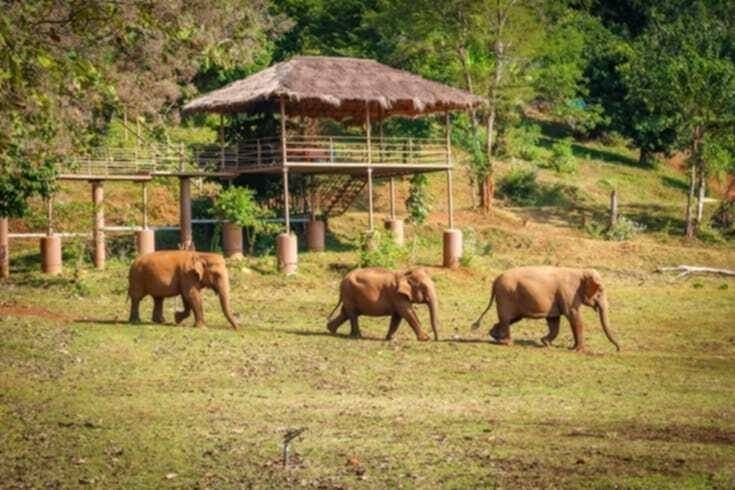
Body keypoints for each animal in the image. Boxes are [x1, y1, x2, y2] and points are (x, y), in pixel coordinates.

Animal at [471, 266, 620, 352]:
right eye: (600, 290)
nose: (618, 349)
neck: (581, 271)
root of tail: (495, 281)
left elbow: (554, 320)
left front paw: (546, 343)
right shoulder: (568, 293)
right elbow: (573, 315)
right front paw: (579, 350)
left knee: (510, 319)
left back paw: (495, 336)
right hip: (506, 295)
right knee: (506, 319)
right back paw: (507, 343)